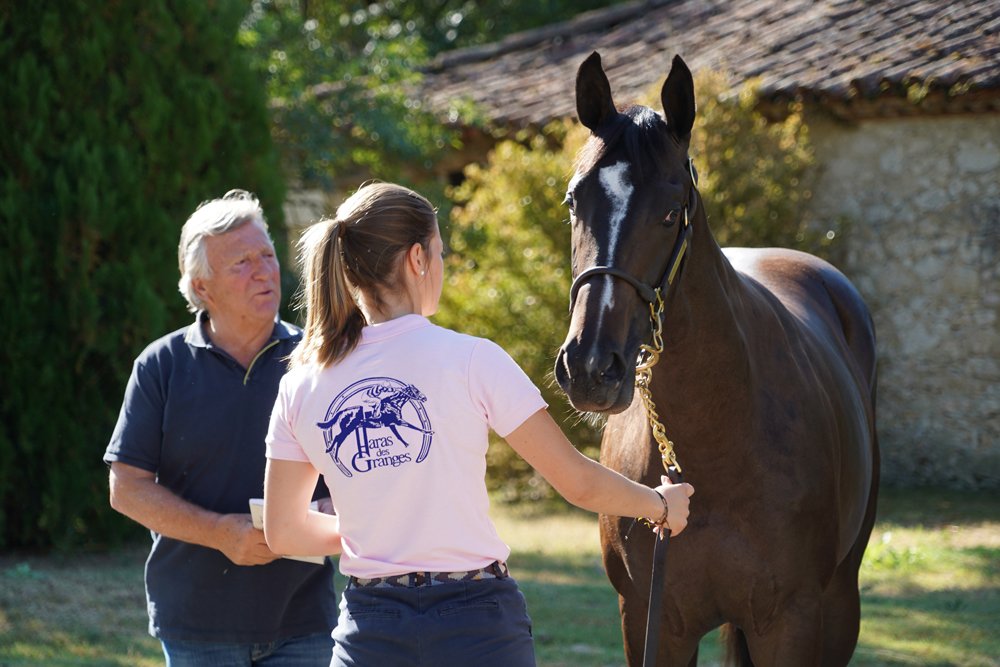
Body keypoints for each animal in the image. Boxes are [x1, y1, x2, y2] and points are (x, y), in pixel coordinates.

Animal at [554, 52, 879, 666]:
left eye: (670, 210)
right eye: (574, 200)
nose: (590, 367)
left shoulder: (791, 622)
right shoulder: (652, 623)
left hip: (839, 608)